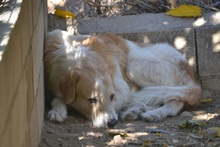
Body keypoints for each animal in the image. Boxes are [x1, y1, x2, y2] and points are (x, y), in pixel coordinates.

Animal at [43, 29, 202, 128]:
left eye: (111, 96)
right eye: (92, 100)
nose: (113, 123)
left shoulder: (123, 89)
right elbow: (57, 97)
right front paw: (58, 110)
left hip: (134, 64)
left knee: (174, 101)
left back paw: (153, 113)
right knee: (166, 98)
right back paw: (137, 111)